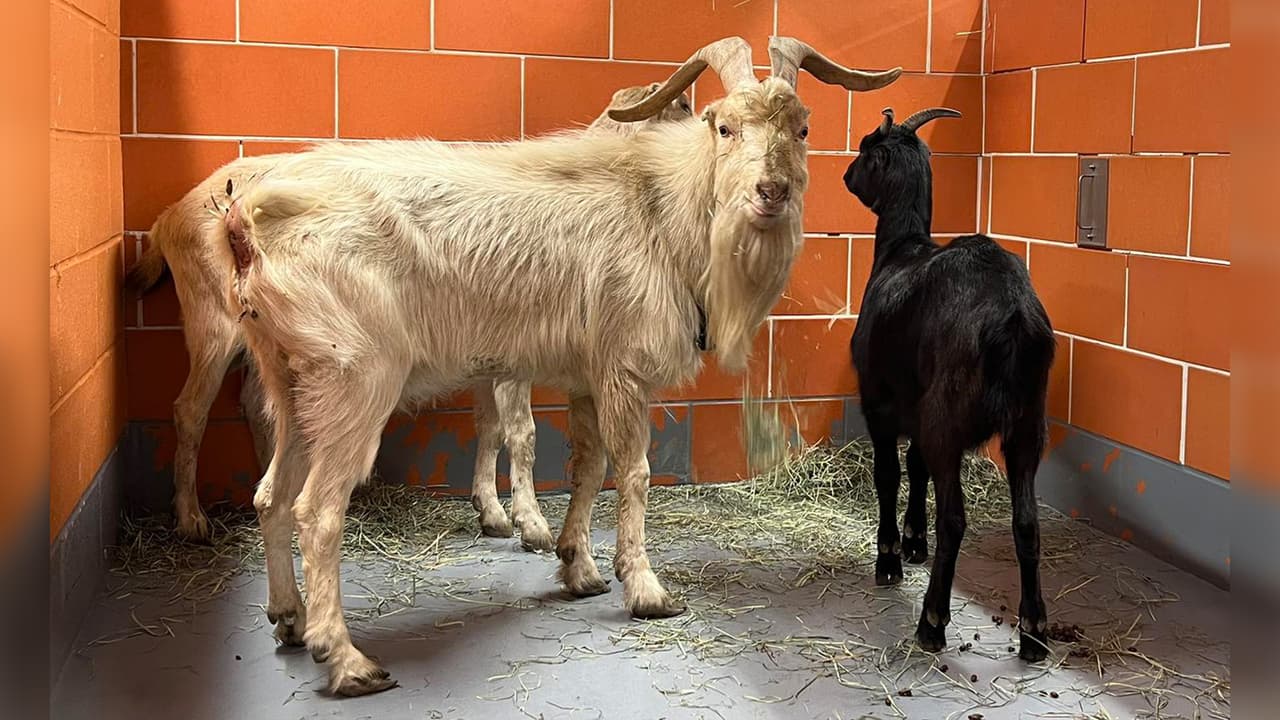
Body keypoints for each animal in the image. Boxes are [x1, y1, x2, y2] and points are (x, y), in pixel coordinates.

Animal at [124, 85, 690, 544]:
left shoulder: (487, 351)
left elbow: (488, 427)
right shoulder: (516, 354)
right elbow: (522, 432)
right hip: (213, 326)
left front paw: (491, 512)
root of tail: (167, 219)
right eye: (684, 108)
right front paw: (531, 523)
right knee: (190, 409)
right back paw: (192, 520)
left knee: (258, 406)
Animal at [220, 36, 900, 695]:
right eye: (724, 126)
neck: (658, 208)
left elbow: (588, 467)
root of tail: (246, 218)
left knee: (270, 496)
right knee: (317, 512)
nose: (772, 192)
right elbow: (633, 473)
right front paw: (645, 589)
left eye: (804, 127)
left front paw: (580, 567)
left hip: (290, 380)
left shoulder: (587, 376)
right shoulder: (625, 367)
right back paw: (346, 659)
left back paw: (288, 619)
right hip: (355, 378)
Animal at [843, 107, 1056, 662]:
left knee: (956, 518)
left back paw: (932, 622)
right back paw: (1034, 630)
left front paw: (891, 556)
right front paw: (914, 539)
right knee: (1027, 520)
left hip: (950, 416)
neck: (901, 250)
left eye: (866, 147)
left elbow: (889, 473)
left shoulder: (879, 402)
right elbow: (917, 467)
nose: (848, 176)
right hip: (1028, 423)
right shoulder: (919, 406)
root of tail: (1012, 317)